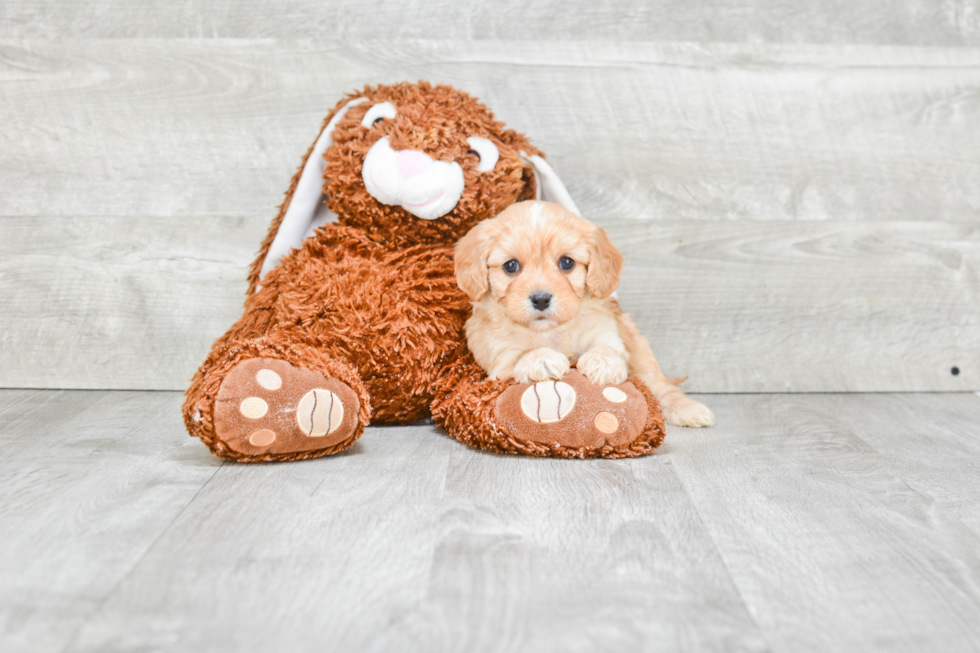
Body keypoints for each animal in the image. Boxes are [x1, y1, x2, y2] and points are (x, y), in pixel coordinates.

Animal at [456, 199, 716, 428]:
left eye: (567, 263)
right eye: (511, 266)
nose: (540, 299)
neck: (549, 331)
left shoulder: (605, 329)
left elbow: (607, 346)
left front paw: (602, 362)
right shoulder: (500, 358)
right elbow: (521, 354)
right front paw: (541, 358)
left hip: (640, 350)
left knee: (660, 386)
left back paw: (688, 409)